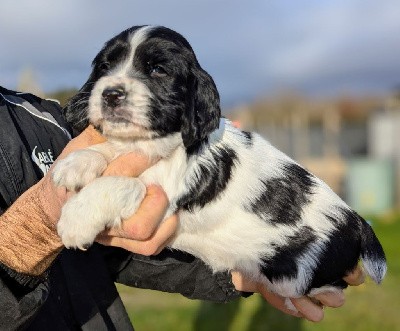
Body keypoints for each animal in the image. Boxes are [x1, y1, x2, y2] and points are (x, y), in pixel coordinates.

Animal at [52, 25, 384, 300]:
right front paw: (76, 163)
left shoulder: (167, 193)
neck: (152, 142)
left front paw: (76, 219)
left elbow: (124, 183)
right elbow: (110, 151)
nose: (110, 94)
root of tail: (358, 222)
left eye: (158, 70)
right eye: (105, 67)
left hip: (300, 271)